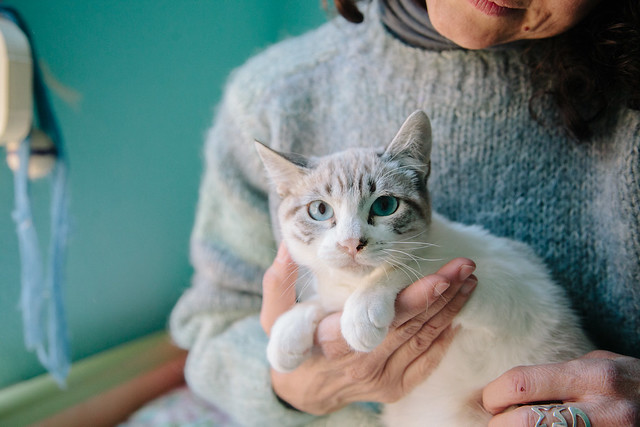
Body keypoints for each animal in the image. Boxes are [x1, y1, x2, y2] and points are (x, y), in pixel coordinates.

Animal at [254, 111, 592, 427]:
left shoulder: (513, 287)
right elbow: (322, 301)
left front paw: (362, 309)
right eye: (320, 210)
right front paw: (287, 331)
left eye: (385, 206)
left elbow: (410, 265)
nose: (351, 243)